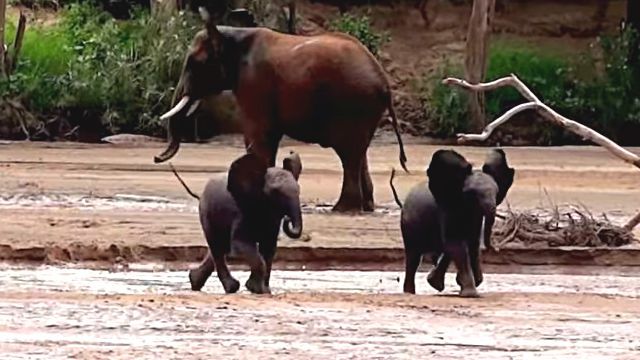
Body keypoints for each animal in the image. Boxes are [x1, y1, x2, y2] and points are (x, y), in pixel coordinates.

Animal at [152, 7, 408, 211]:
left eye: (194, 63)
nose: (156, 157)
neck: (232, 33)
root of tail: (384, 81)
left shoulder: (254, 82)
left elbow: (258, 137)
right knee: (360, 151)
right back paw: (365, 207)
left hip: (352, 103)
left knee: (349, 153)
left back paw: (343, 209)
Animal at [171, 150, 304, 294]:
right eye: (276, 192)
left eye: (299, 189)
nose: (287, 219)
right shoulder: (241, 212)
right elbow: (240, 244)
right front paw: (256, 289)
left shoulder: (272, 220)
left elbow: (269, 247)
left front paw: (264, 290)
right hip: (206, 212)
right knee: (217, 246)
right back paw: (230, 288)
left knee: (220, 247)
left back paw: (195, 281)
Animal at [390, 149, 516, 298]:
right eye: (472, 194)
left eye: (496, 193)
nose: (497, 249)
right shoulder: (447, 210)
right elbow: (456, 244)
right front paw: (470, 294)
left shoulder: (475, 217)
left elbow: (472, 244)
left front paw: (466, 283)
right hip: (409, 224)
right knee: (413, 257)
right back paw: (410, 292)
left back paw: (434, 283)